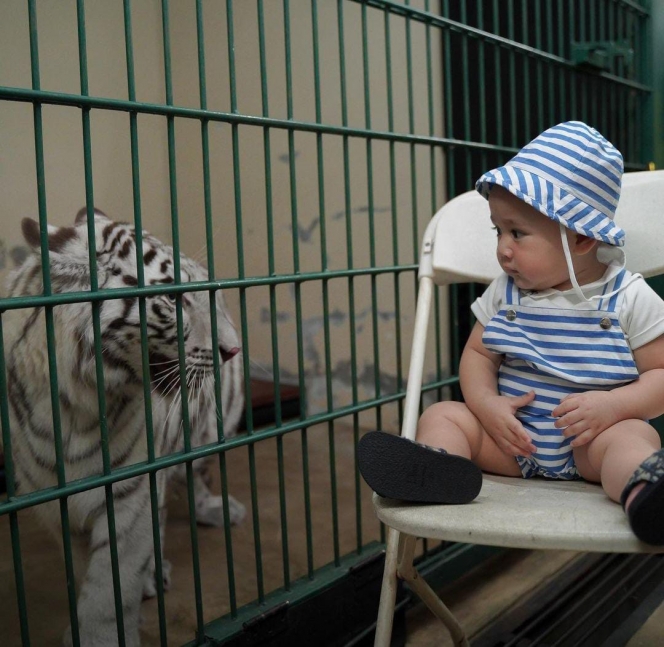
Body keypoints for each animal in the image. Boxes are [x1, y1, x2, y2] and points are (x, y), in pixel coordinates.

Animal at [3, 209, 246, 647]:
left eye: (204, 293)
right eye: (173, 297)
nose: (233, 350)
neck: (74, 408)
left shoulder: (131, 490)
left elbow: (109, 588)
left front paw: (103, 635)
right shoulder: (55, 501)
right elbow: (89, 574)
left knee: (195, 476)